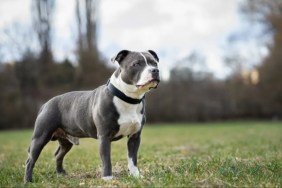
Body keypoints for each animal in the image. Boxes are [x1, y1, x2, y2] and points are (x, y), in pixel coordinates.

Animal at [23, 49, 161, 182]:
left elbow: (132, 159)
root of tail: (45, 104)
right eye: (136, 64)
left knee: (58, 155)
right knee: (30, 160)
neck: (128, 98)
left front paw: (136, 176)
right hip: (40, 137)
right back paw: (28, 181)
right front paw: (107, 178)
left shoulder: (134, 137)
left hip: (66, 141)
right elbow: (106, 159)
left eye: (154, 63)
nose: (155, 70)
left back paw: (61, 174)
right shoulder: (104, 136)